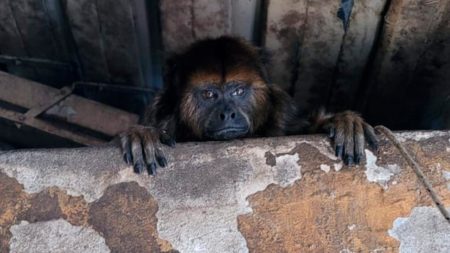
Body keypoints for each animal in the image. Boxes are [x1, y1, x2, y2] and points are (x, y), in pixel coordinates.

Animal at [118, 36, 376, 174]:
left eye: (238, 91)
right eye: (209, 94)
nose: (227, 114)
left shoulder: (283, 112)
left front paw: (342, 122)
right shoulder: (158, 109)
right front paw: (143, 135)